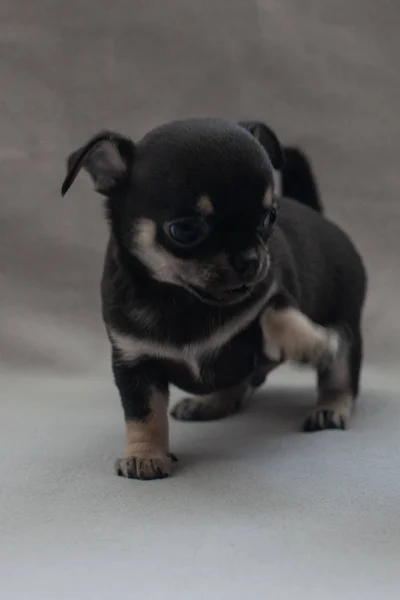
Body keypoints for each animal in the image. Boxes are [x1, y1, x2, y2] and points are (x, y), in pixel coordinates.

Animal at [61, 119, 366, 480]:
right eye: (185, 229)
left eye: (269, 218)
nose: (250, 260)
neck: (183, 300)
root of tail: (319, 215)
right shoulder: (134, 363)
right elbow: (143, 415)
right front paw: (144, 455)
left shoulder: (270, 291)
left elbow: (275, 312)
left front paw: (313, 343)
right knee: (234, 385)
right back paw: (208, 404)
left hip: (346, 326)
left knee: (340, 376)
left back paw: (329, 407)